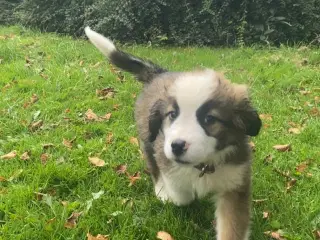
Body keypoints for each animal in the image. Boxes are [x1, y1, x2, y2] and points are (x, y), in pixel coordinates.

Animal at [85, 26, 262, 240]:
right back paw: (161, 190)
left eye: (209, 119)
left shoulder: (235, 184)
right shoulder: (166, 159)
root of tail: (158, 74)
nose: (177, 146)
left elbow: (232, 228)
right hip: (148, 138)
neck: (202, 165)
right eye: (172, 114)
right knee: (153, 166)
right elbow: (181, 196)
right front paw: (180, 194)